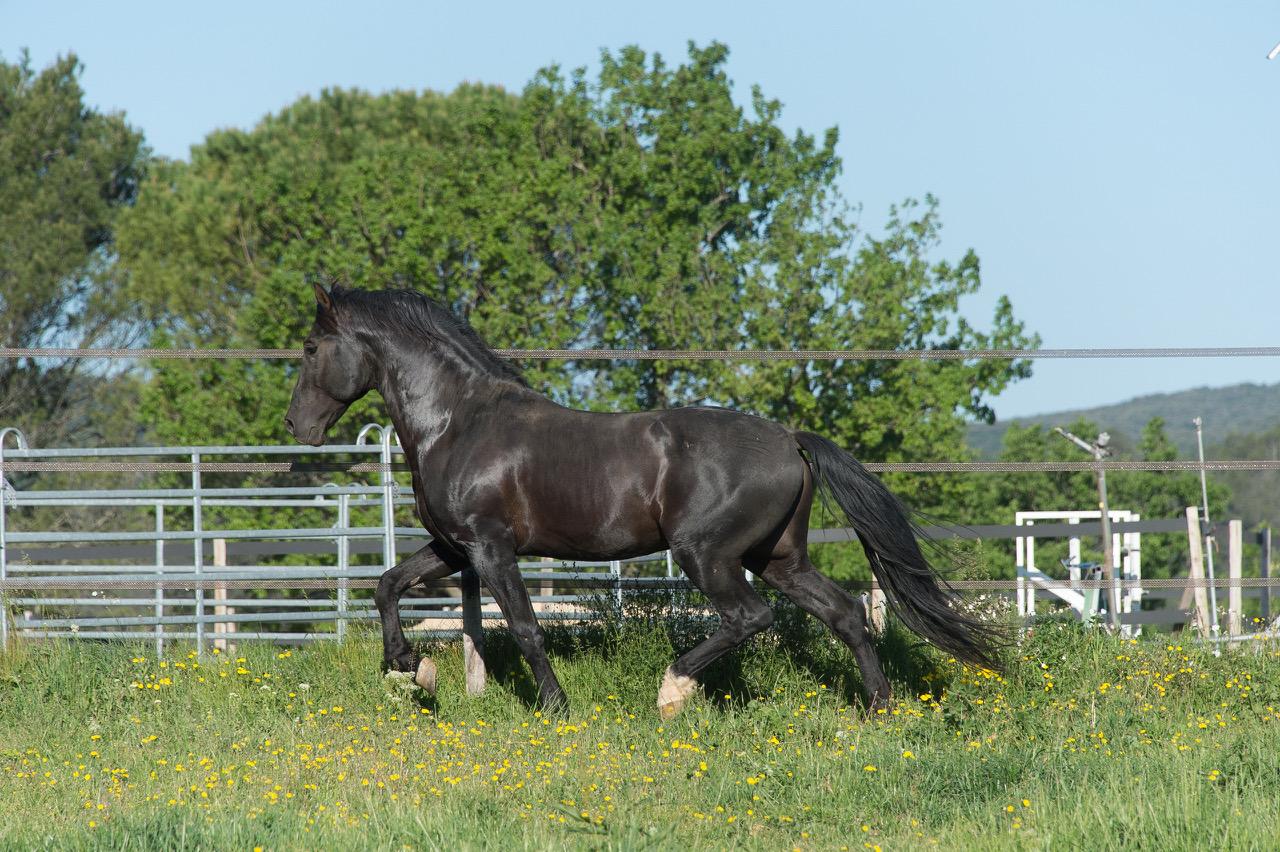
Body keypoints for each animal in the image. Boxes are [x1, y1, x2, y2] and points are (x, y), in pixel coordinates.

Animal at [282, 281, 998, 711]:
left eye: (313, 347)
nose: (296, 426)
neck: (459, 422)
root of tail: (789, 439)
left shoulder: (489, 547)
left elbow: (525, 625)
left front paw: (554, 706)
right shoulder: (453, 548)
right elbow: (387, 584)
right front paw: (408, 666)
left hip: (707, 554)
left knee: (750, 618)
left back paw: (673, 690)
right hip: (778, 557)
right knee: (845, 613)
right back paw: (879, 707)